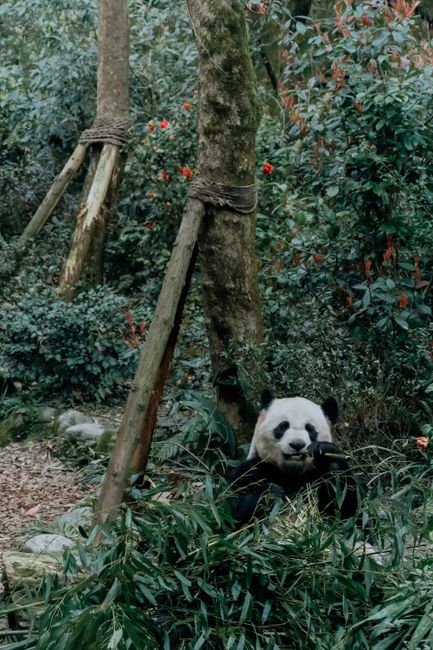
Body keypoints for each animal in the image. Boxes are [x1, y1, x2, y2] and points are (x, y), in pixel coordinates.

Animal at [229, 389, 361, 525]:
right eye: (283, 426)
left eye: (310, 428)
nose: (297, 444)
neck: (292, 472)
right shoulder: (250, 472)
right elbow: (232, 513)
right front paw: (270, 492)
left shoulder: (318, 476)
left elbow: (348, 511)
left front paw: (326, 454)